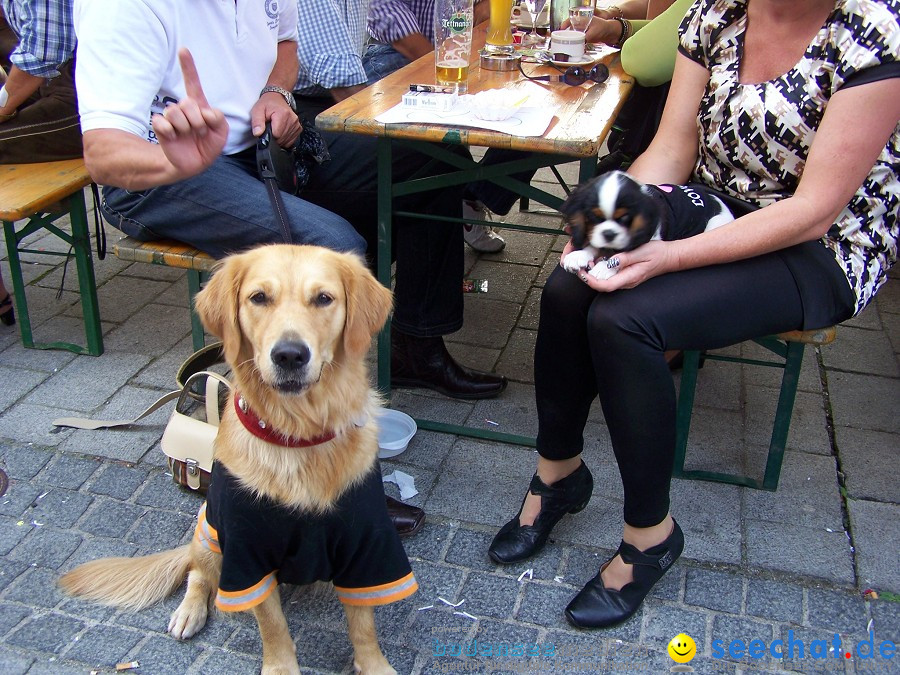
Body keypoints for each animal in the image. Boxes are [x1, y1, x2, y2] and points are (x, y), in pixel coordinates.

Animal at [61, 246, 414, 672]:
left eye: (323, 298)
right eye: (258, 297)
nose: (290, 355)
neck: (298, 436)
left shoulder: (366, 547)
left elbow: (364, 625)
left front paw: (374, 664)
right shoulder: (246, 555)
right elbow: (272, 624)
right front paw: (281, 666)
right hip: (209, 529)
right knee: (198, 574)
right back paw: (188, 612)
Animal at [560, 173, 736, 282]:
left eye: (625, 218)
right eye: (595, 217)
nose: (609, 234)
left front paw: (604, 268)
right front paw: (579, 255)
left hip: (715, 224)